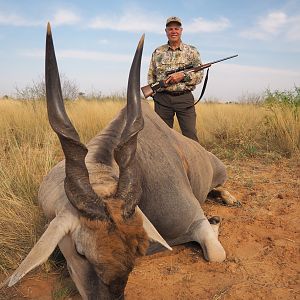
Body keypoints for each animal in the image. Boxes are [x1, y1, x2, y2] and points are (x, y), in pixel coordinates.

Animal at [4, 22, 238, 298]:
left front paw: (215, 220)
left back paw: (229, 198)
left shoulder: (194, 219)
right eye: (80, 253)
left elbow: (215, 252)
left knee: (219, 187)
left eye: (134, 251)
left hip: (219, 173)